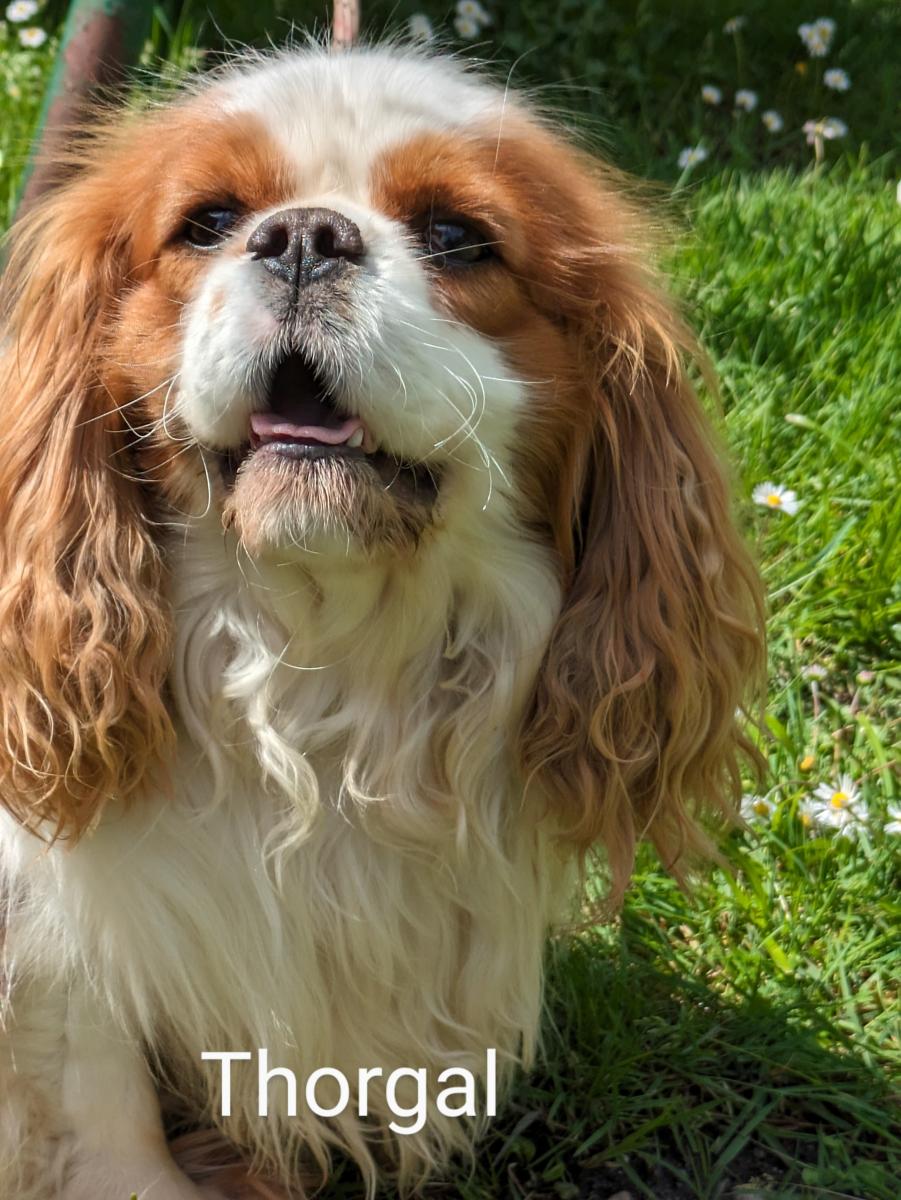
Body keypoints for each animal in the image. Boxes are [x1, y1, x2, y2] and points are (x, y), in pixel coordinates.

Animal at [0, 42, 763, 1195]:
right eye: (208, 223)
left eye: (457, 237)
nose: (304, 237)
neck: (324, 662)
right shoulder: (52, 933)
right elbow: (97, 1101)